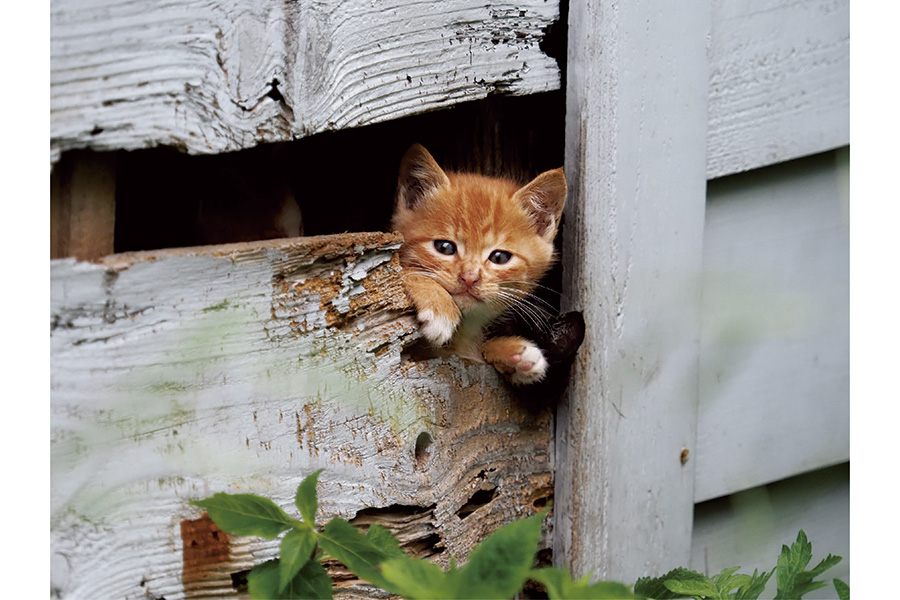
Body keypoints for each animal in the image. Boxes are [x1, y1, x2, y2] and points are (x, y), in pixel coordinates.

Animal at [392, 143, 568, 382]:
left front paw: (512, 354)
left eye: (499, 257)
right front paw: (439, 307)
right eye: (444, 247)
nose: (470, 278)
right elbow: (400, 270)